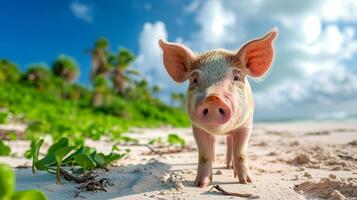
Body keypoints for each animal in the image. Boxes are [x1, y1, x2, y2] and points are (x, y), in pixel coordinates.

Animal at [159, 28, 278, 188]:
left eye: (236, 77)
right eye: (194, 80)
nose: (213, 99)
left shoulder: (246, 125)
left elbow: (240, 152)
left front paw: (246, 182)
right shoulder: (197, 128)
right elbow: (204, 154)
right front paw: (200, 184)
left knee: (230, 143)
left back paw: (229, 167)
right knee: (215, 142)